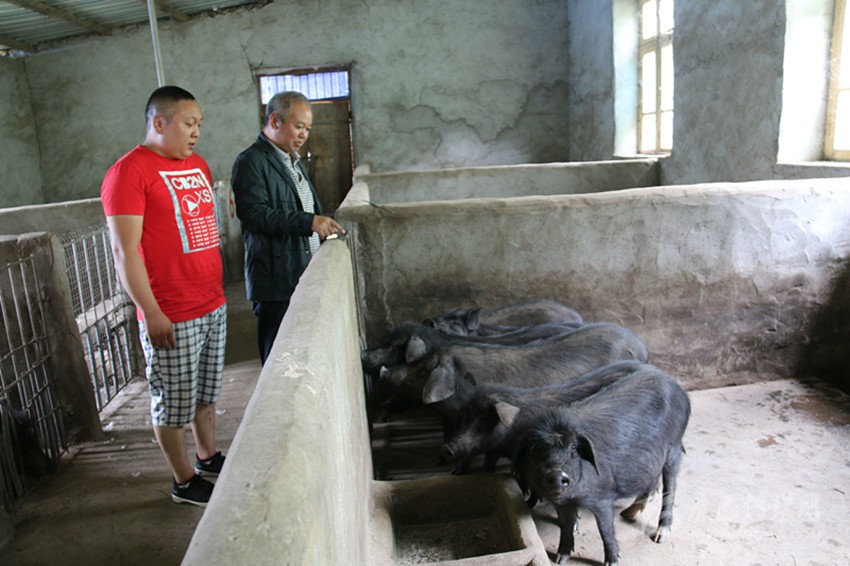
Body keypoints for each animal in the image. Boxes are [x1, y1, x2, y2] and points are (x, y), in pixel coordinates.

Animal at [512, 368, 691, 566]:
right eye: (539, 449)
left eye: (573, 447)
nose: (557, 475)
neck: (574, 496)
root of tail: (677, 388)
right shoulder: (561, 502)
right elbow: (565, 526)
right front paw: (560, 559)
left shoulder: (603, 496)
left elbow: (605, 529)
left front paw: (611, 562)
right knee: (652, 478)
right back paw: (628, 514)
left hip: (674, 446)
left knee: (670, 486)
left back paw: (660, 535)